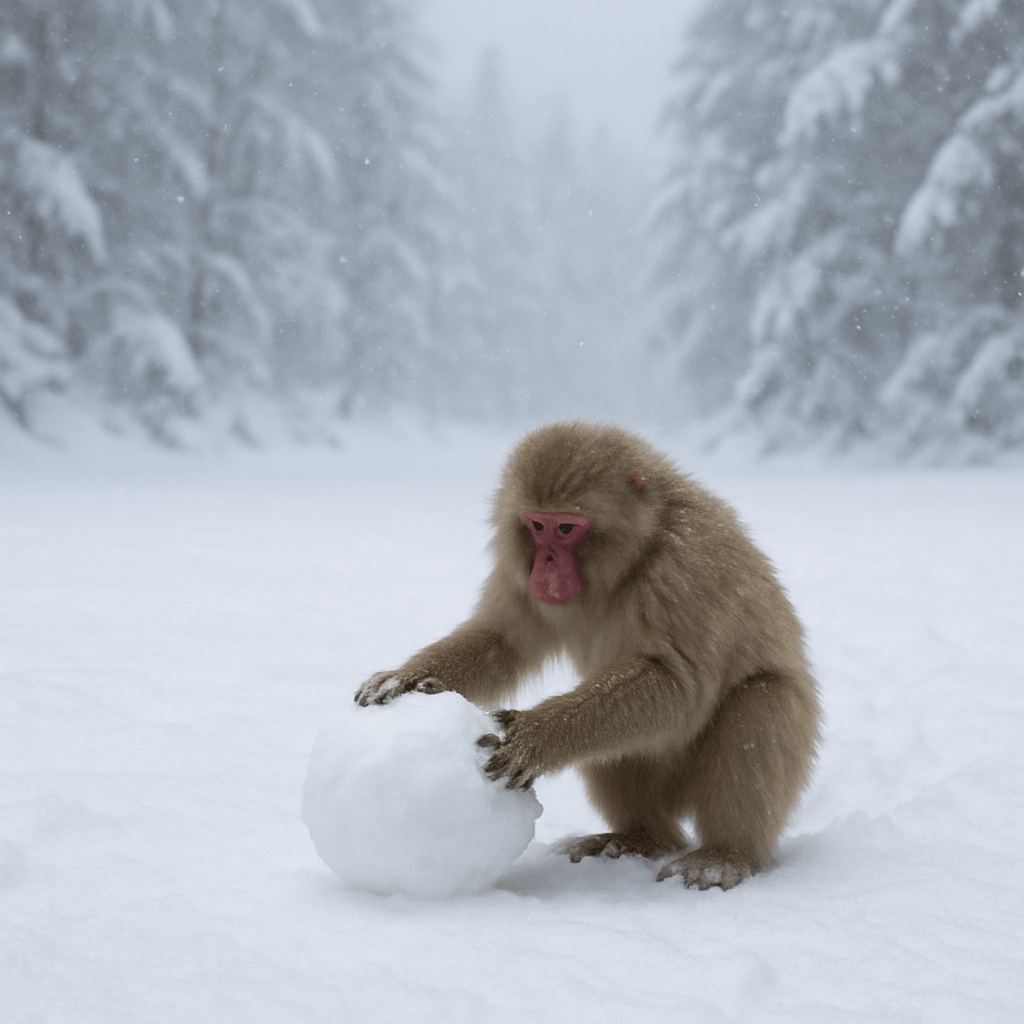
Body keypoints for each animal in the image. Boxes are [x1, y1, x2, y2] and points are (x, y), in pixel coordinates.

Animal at [355, 422, 821, 890]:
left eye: (566, 529)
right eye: (536, 524)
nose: (545, 563)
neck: (636, 554)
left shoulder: (684, 567)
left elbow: (676, 680)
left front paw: (535, 734)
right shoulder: (517, 571)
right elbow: (500, 641)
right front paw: (407, 677)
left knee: (760, 702)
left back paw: (724, 855)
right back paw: (637, 838)